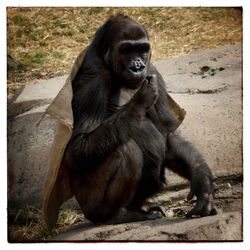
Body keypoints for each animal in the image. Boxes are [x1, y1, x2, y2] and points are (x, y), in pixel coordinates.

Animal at [62, 14, 217, 224]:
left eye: (142, 49)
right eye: (127, 49)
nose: (137, 67)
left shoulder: (153, 71)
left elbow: (168, 134)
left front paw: (203, 185)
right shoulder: (93, 79)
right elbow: (77, 149)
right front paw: (140, 100)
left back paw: (137, 208)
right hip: (88, 205)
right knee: (126, 151)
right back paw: (116, 214)